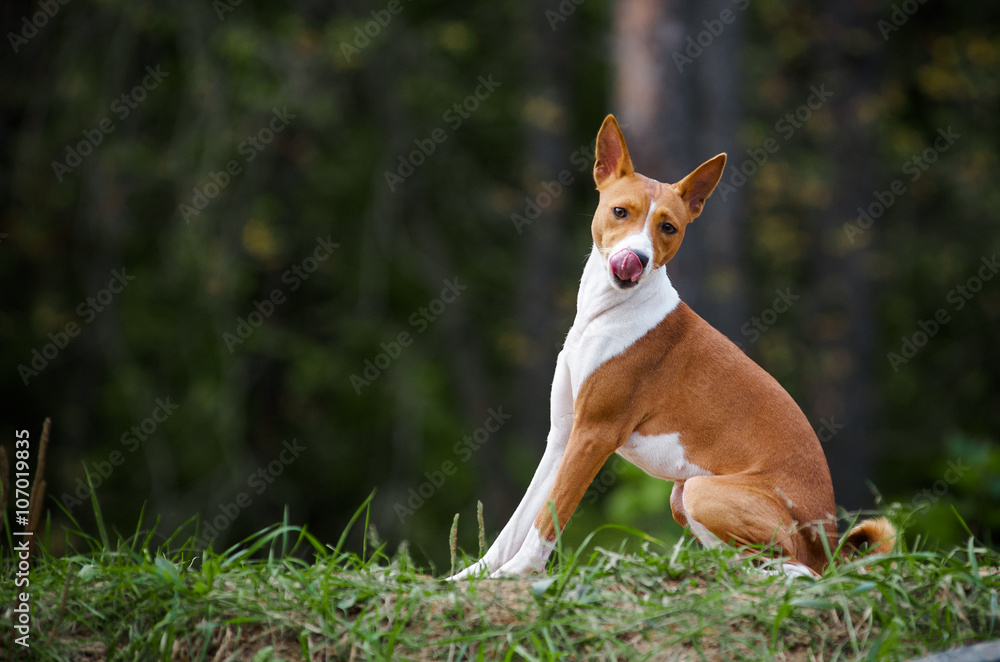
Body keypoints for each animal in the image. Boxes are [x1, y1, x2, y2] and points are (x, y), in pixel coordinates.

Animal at [450, 116, 896, 584]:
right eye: (620, 212)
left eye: (668, 228)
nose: (636, 258)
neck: (607, 312)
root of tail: (829, 543)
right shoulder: (562, 436)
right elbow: (516, 522)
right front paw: (470, 577)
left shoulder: (593, 435)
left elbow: (548, 519)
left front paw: (517, 574)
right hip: (682, 497)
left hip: (701, 491)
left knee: (798, 569)